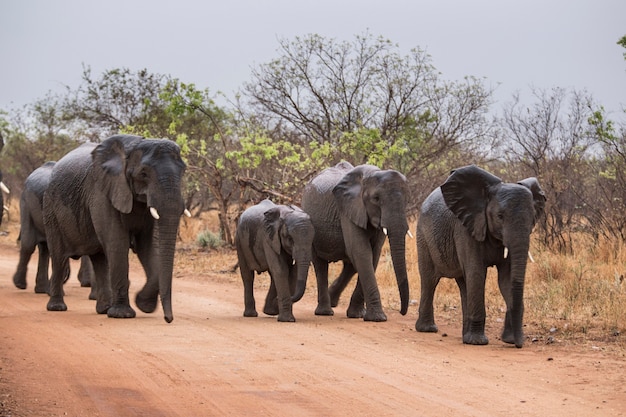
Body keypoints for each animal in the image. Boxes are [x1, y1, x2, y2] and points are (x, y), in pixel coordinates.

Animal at [42, 134, 185, 322]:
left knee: (99, 258)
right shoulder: (102, 193)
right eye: (143, 173)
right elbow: (117, 243)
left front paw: (143, 305)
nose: (169, 319)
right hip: (51, 210)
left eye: (183, 172)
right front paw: (123, 315)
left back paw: (104, 309)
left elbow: (148, 247)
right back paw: (57, 307)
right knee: (59, 257)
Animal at [298, 161, 410, 320]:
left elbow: (372, 255)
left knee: (350, 265)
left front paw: (357, 315)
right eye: (376, 199)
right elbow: (361, 252)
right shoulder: (348, 209)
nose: (402, 312)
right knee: (320, 265)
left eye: (407, 200)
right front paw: (378, 318)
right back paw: (325, 311)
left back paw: (333, 301)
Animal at [416, 164, 544, 346]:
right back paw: (428, 329)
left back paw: (464, 336)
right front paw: (478, 342)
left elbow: (506, 279)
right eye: (500, 216)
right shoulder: (466, 229)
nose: (519, 344)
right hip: (423, 235)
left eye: (532, 218)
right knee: (429, 280)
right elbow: (477, 273)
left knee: (464, 283)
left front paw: (508, 340)